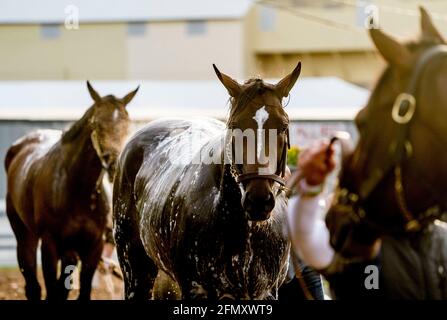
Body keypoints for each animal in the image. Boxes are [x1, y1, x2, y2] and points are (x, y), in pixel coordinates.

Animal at [3, 80, 138, 300]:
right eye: (96, 124)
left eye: (128, 124)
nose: (115, 164)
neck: (75, 190)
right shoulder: (49, 243)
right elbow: (51, 289)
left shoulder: (93, 246)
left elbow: (82, 290)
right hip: (25, 234)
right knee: (32, 283)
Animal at [113, 63, 300, 300]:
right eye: (234, 125)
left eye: (283, 125)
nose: (258, 199)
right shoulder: (196, 289)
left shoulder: (265, 292)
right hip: (136, 273)